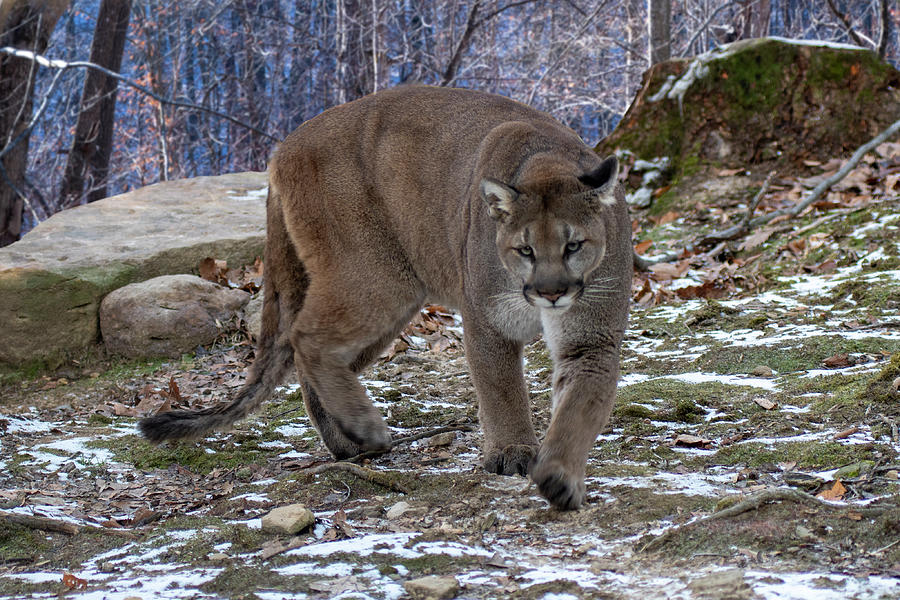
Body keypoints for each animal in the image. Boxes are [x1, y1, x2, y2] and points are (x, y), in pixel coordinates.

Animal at [142, 86, 632, 508]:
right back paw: (366, 429)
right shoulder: (488, 320)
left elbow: (581, 405)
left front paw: (560, 475)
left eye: (574, 245)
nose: (551, 293)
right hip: (377, 277)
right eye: (525, 249)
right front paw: (512, 453)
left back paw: (348, 441)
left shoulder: (592, 338)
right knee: (306, 338)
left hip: (394, 297)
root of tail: (285, 146)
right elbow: (501, 389)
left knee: (311, 358)